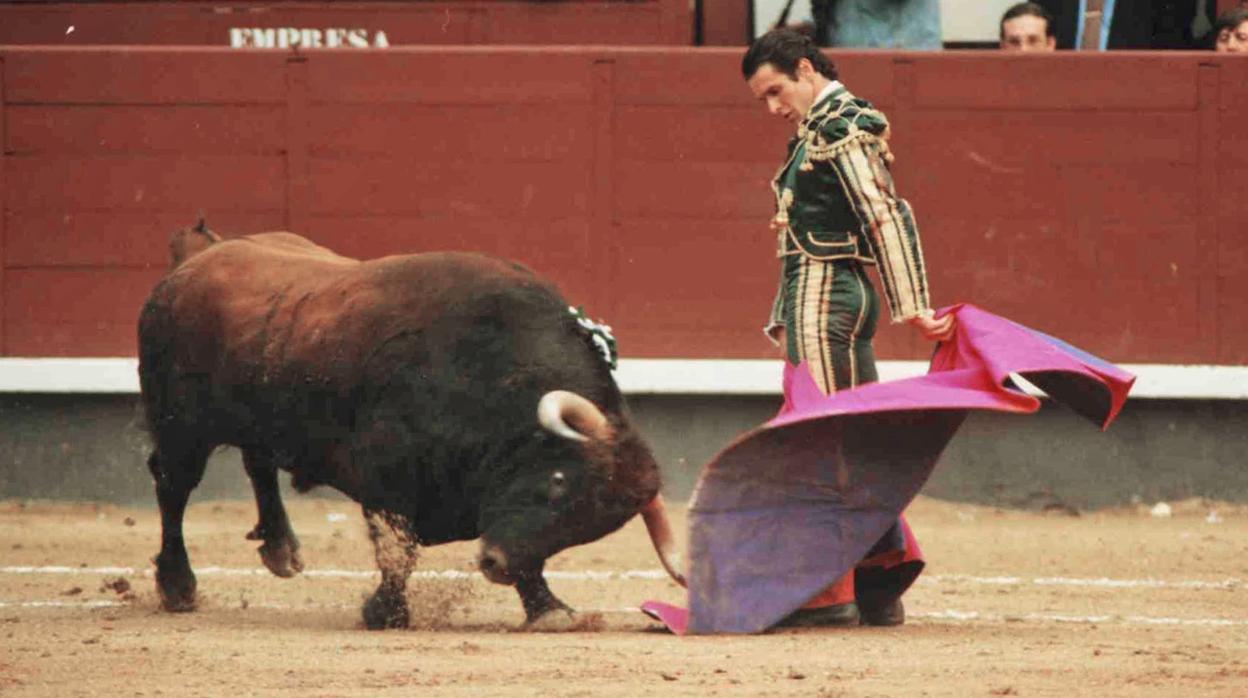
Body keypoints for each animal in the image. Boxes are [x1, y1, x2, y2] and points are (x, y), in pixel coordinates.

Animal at [136, 222, 683, 629]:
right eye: (556, 482)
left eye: (588, 528)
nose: (495, 565)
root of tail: (195, 260)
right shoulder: (386, 481)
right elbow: (397, 550)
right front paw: (386, 613)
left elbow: (528, 556)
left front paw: (547, 609)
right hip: (180, 428)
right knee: (173, 488)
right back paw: (178, 586)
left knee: (258, 462)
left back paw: (280, 548)